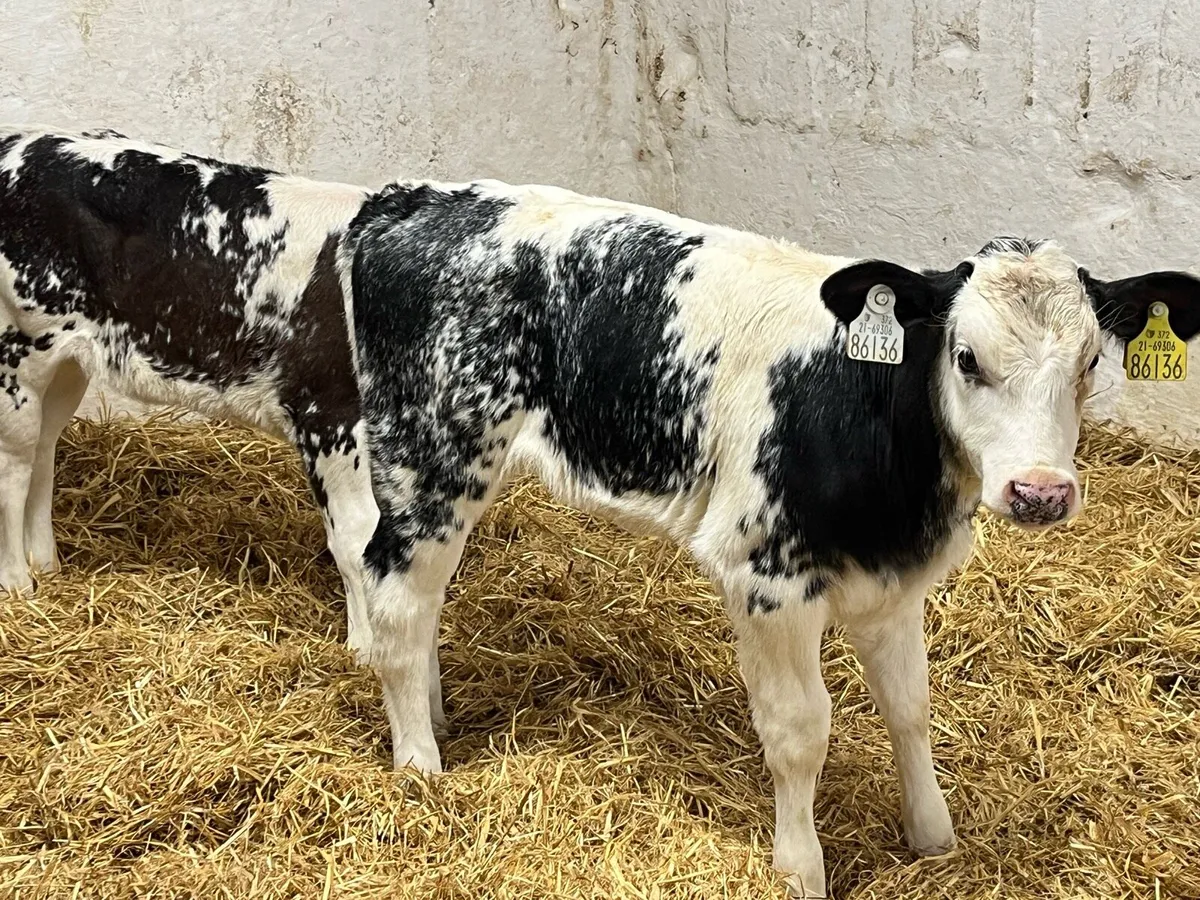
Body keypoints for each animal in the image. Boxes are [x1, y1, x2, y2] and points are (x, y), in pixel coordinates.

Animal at [0, 126, 379, 656]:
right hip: (18, 347)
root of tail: (19, 140)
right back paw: (18, 585)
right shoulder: (329, 413)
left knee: (42, 448)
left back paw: (48, 566)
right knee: (11, 467)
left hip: (67, 362)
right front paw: (367, 651)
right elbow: (356, 536)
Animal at [340, 181, 1200, 898]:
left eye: (1091, 364)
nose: (1040, 491)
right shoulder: (768, 579)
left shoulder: (894, 582)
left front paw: (933, 835)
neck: (866, 409)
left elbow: (911, 706)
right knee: (393, 596)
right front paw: (801, 868)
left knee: (416, 602)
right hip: (433, 457)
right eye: (965, 357)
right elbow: (799, 732)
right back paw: (418, 763)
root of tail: (411, 200)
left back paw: (432, 714)